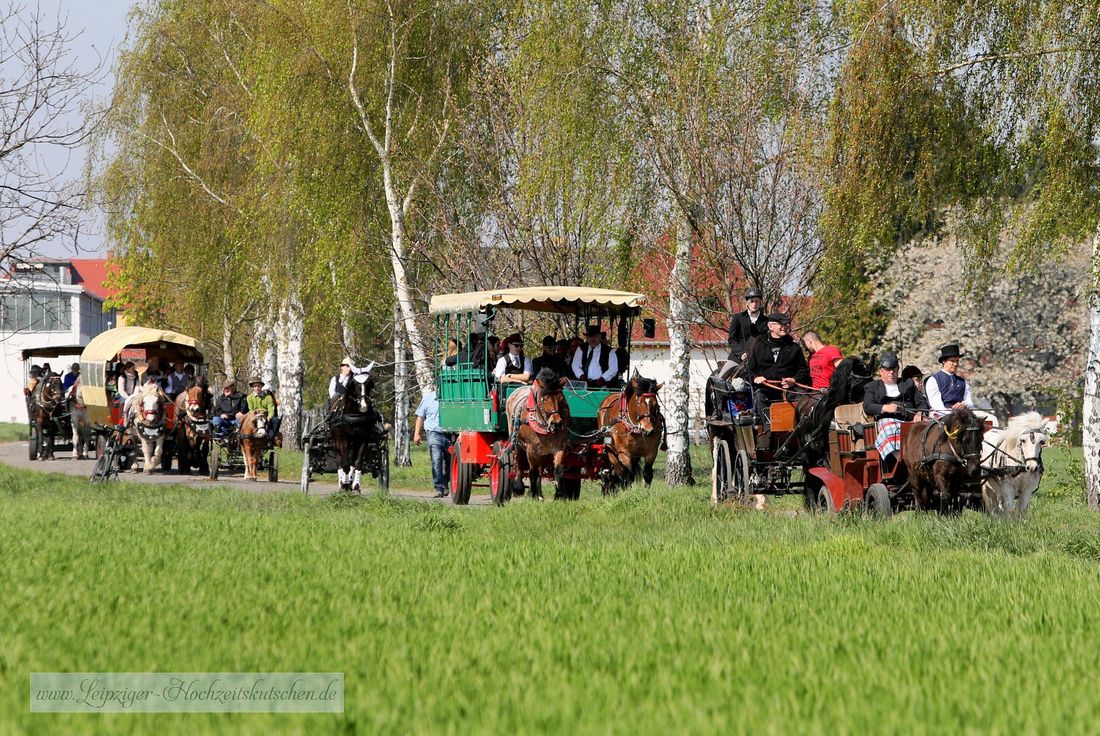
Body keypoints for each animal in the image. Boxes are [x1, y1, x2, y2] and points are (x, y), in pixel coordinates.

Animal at [506, 365, 572, 499]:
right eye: (545, 399)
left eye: (561, 398)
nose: (556, 423)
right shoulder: (531, 449)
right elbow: (533, 472)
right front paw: (532, 493)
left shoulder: (559, 447)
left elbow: (558, 471)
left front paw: (559, 494)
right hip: (517, 442)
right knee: (518, 462)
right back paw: (519, 487)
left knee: (540, 470)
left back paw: (540, 493)